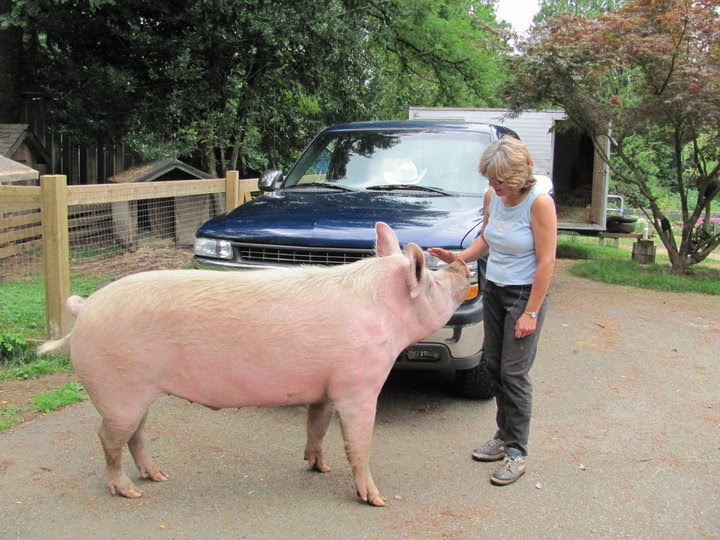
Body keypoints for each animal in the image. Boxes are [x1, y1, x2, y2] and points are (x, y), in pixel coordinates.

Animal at [38, 222, 470, 506]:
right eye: (432, 283)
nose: (461, 265)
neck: (384, 315)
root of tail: (85, 308)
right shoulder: (359, 386)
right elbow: (359, 443)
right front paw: (376, 500)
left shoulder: (325, 386)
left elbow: (316, 426)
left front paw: (320, 468)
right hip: (116, 391)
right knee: (107, 438)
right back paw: (130, 491)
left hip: (136, 396)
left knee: (135, 434)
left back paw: (157, 476)